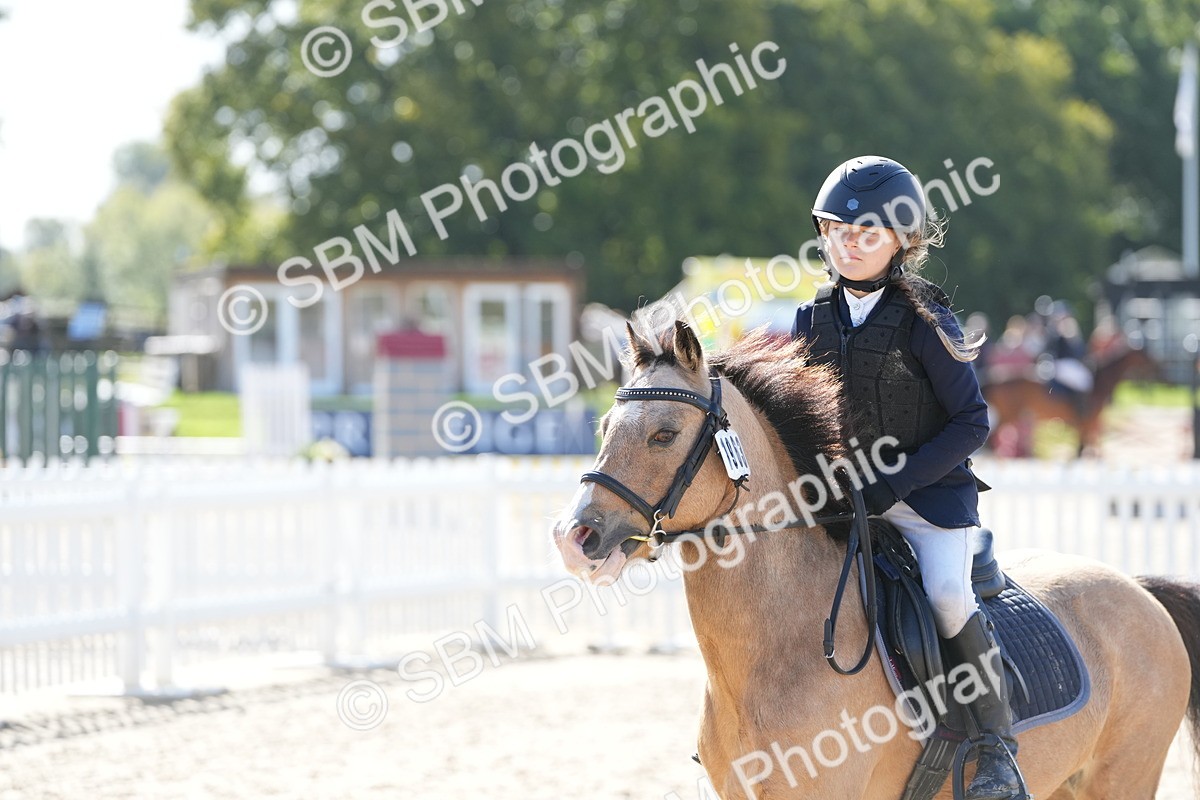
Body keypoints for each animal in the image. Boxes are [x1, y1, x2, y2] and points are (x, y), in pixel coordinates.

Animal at [982, 345, 1159, 458]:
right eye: (1145, 355)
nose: (1159, 368)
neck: (1099, 380)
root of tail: (994, 378)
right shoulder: (1088, 420)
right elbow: (1082, 447)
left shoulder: (1086, 422)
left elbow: (1083, 446)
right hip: (1008, 414)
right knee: (992, 438)